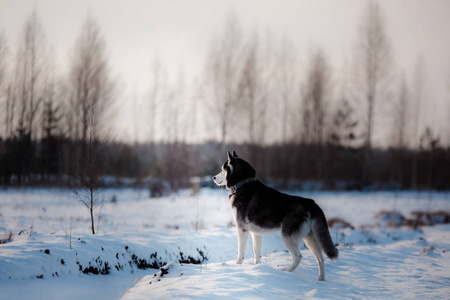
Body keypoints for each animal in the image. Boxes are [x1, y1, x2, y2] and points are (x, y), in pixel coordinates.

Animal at [214, 152, 338, 282]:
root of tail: (311, 203)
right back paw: (320, 280)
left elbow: (240, 252)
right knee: (320, 259)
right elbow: (257, 254)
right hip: (309, 239)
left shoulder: (242, 229)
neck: (243, 184)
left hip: (287, 237)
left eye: (222, 169)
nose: (213, 178)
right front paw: (257, 268)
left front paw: (237, 265)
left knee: (298, 256)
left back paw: (287, 272)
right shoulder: (256, 233)